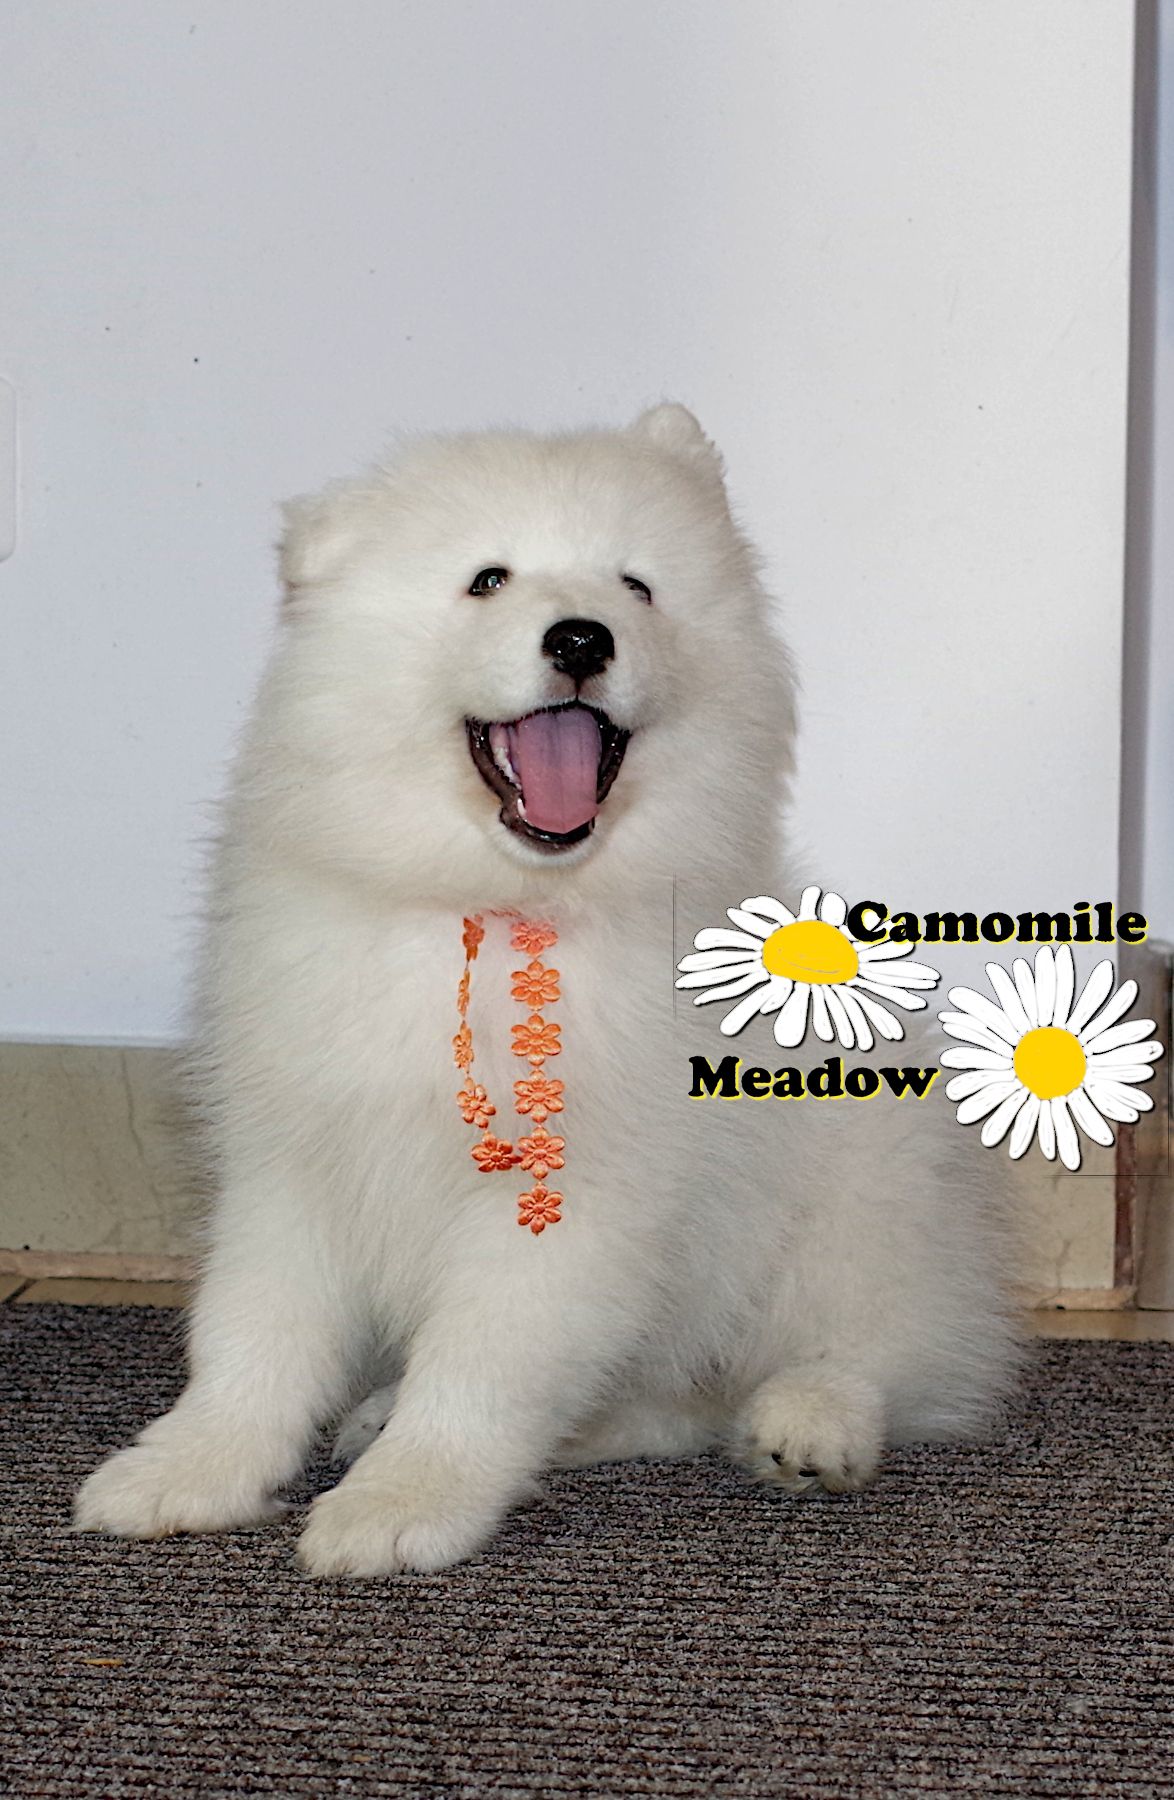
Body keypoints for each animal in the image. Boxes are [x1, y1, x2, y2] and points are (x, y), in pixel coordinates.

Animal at [75, 404, 1017, 1575]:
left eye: (637, 586)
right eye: (488, 579)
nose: (580, 638)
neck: (487, 904)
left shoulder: (576, 1200)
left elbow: (482, 1364)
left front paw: (402, 1503)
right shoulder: (295, 1156)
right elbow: (252, 1334)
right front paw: (186, 1470)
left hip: (865, 1175)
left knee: (882, 1344)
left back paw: (812, 1421)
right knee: (670, 1403)